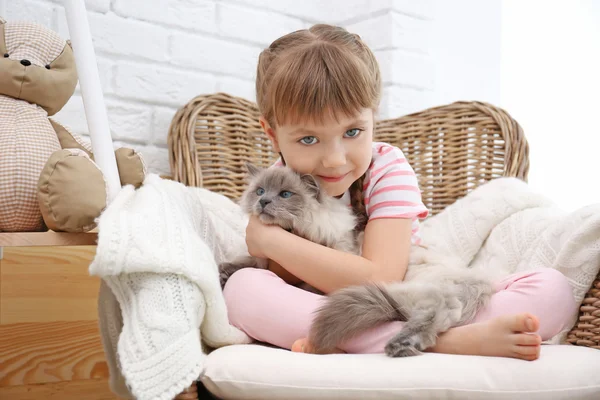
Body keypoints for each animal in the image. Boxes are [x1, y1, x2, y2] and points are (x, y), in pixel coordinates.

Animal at [219, 163, 364, 294]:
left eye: (285, 194)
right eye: (260, 191)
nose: (263, 201)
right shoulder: (259, 261)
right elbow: (244, 263)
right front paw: (223, 274)